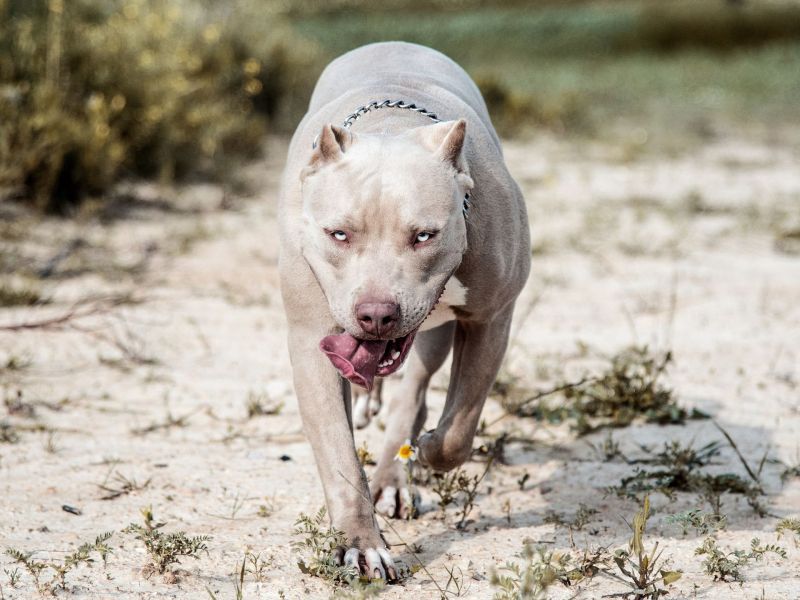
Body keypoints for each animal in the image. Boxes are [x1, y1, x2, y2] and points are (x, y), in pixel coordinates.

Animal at [278, 42, 528, 580]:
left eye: (424, 235)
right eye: (338, 234)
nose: (376, 313)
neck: (390, 126)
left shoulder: (491, 319)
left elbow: (460, 424)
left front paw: (430, 446)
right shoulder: (310, 338)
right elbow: (339, 455)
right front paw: (360, 546)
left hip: (434, 332)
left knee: (413, 392)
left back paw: (399, 465)